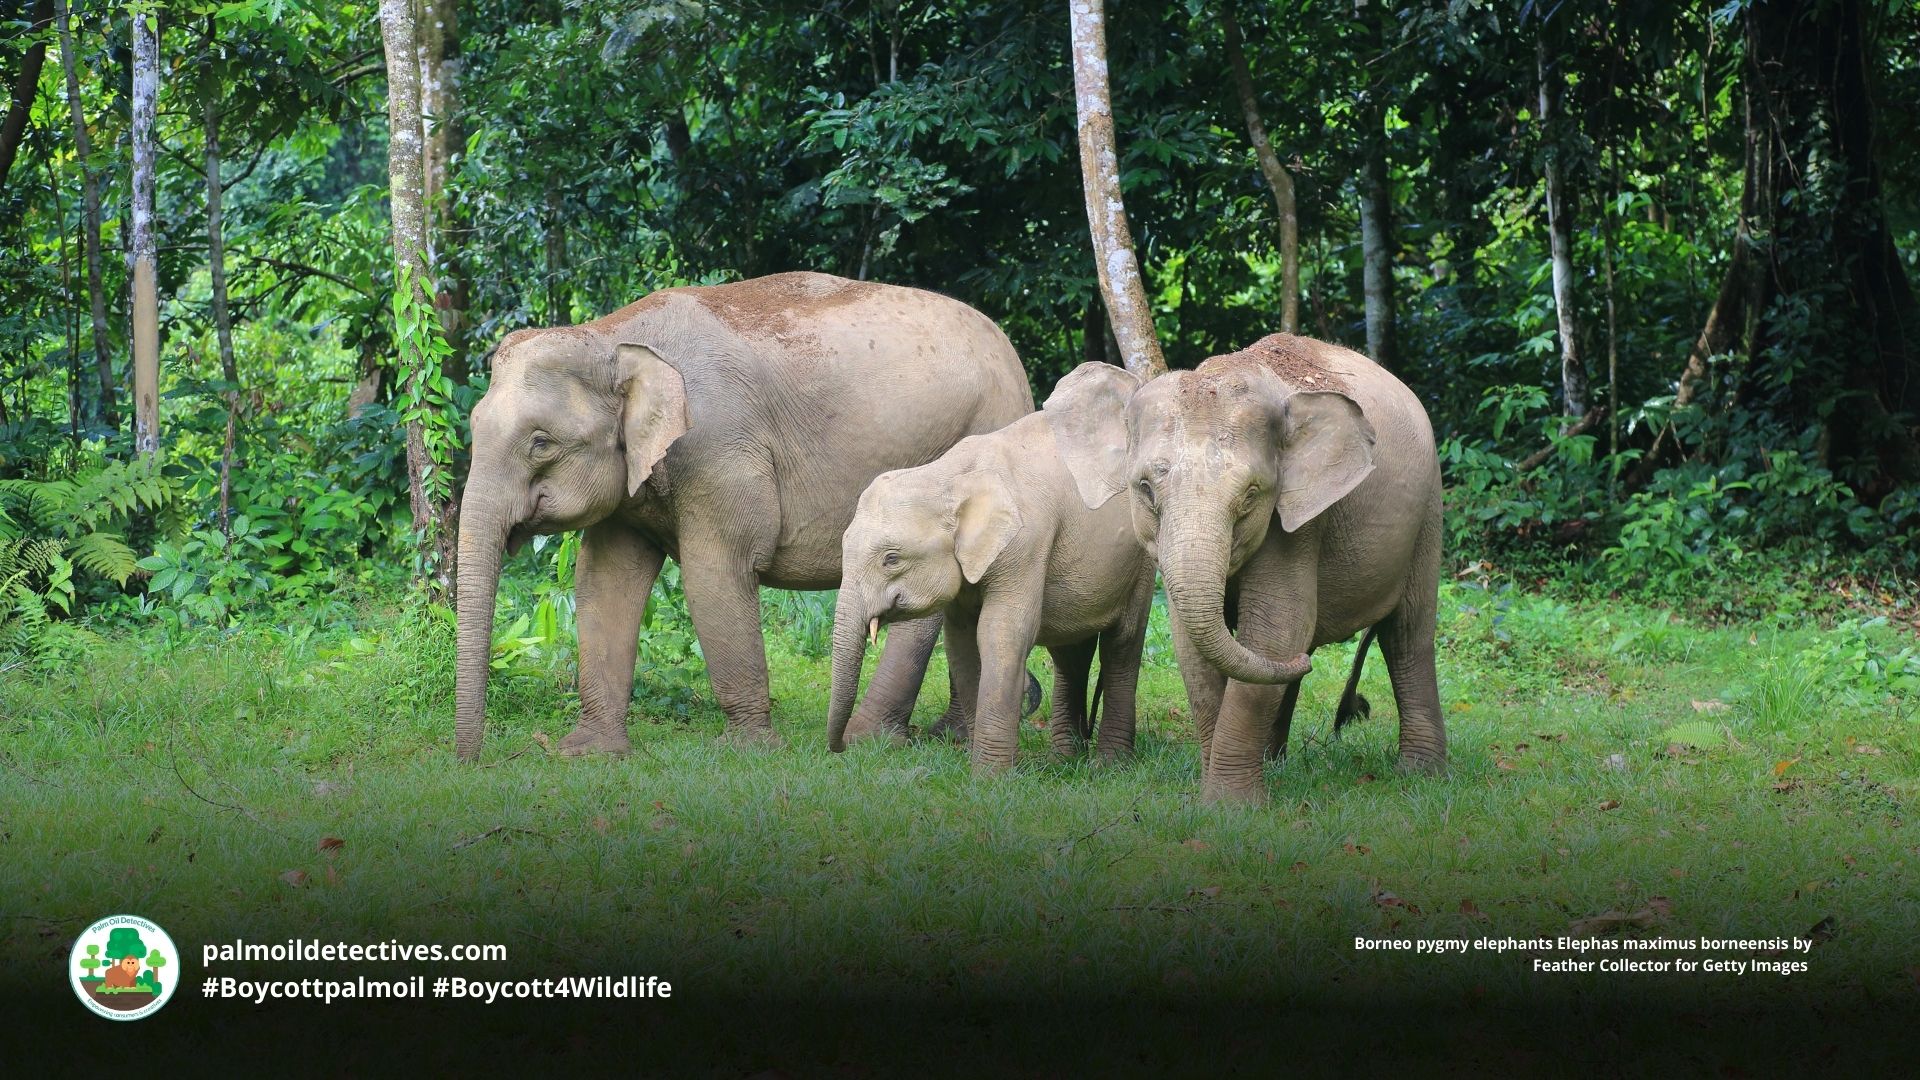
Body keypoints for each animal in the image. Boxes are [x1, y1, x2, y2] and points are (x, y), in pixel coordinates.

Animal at [454, 272, 1034, 760]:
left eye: (540, 442)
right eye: (474, 424)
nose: (472, 761)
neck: (610, 336)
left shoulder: (719, 450)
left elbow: (715, 572)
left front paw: (749, 750)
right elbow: (604, 579)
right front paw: (588, 753)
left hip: (980, 431)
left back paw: (872, 740)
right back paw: (946, 736)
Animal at [828, 362, 1156, 772]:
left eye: (891, 559)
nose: (839, 747)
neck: (948, 475)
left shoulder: (1026, 541)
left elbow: (1002, 632)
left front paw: (990, 776)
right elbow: (962, 641)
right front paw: (976, 763)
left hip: (1143, 557)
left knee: (1122, 646)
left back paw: (1109, 766)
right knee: (1070, 650)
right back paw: (1064, 761)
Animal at [1052, 333, 1444, 804]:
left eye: (1251, 495)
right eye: (1145, 488)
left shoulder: (1299, 524)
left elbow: (1276, 628)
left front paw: (1230, 806)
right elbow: (1195, 646)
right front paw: (1214, 794)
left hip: (1428, 510)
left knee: (1407, 635)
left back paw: (1420, 775)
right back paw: (1276, 761)